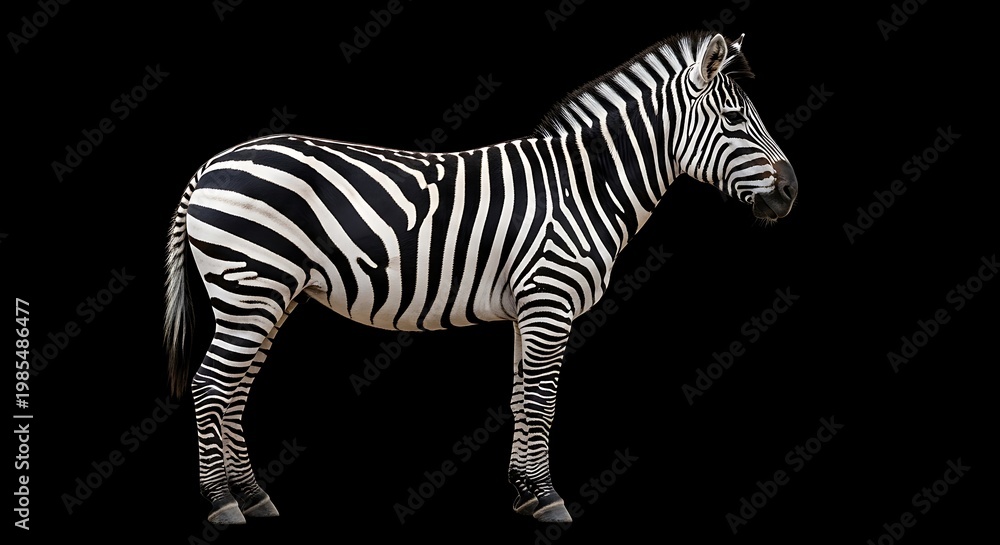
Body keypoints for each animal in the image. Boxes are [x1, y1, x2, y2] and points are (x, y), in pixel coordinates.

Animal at [163, 30, 797, 525]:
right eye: (735, 119)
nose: (792, 191)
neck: (585, 186)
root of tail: (211, 164)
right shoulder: (550, 299)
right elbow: (542, 401)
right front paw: (549, 501)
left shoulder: (529, 306)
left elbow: (520, 399)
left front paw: (524, 495)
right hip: (251, 287)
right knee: (210, 386)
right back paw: (223, 504)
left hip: (267, 295)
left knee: (235, 389)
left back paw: (254, 496)